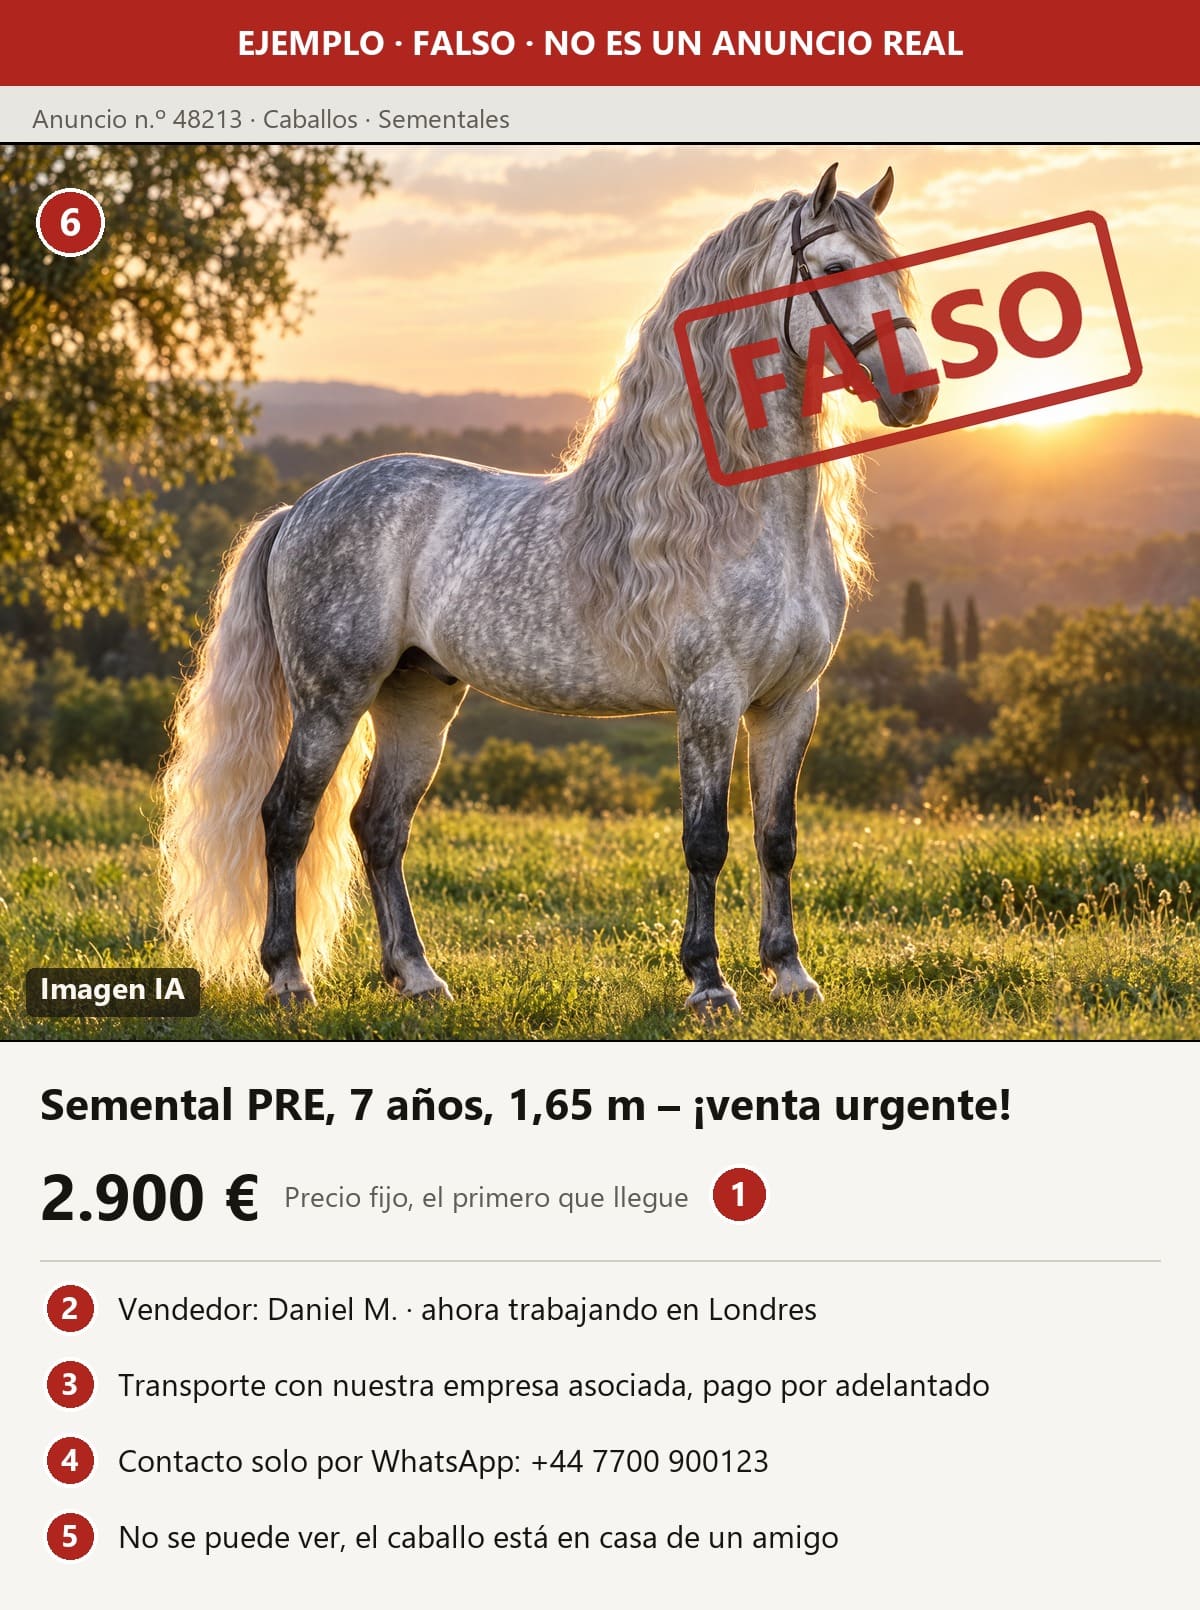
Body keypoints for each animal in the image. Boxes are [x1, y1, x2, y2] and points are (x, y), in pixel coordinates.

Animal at [160, 161, 938, 1016]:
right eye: (833, 269)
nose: (917, 392)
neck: (741, 518)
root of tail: (298, 509)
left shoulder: (792, 701)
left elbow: (777, 838)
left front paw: (791, 974)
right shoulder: (710, 698)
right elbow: (707, 841)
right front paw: (708, 982)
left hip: (418, 695)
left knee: (379, 826)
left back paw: (418, 977)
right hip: (332, 696)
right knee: (287, 817)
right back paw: (289, 978)